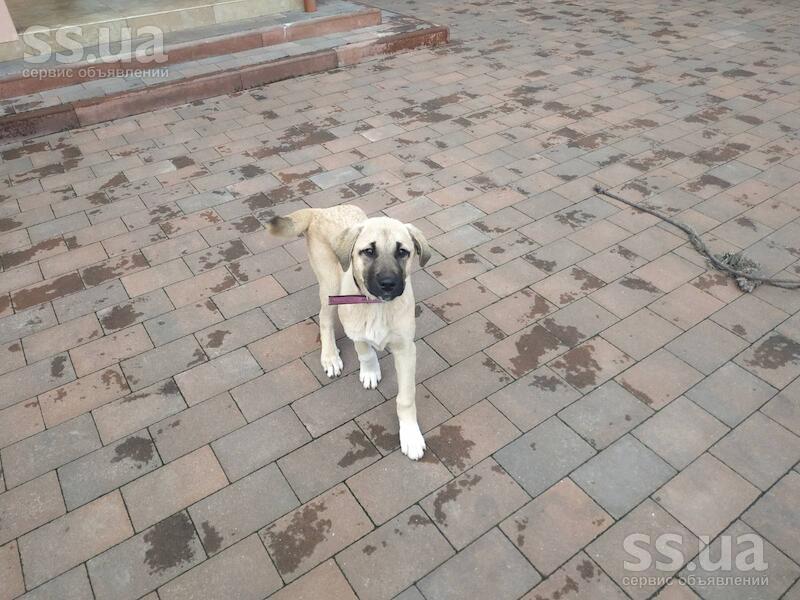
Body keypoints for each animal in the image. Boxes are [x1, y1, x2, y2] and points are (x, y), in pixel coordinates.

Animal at [269, 205, 431, 460]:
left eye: (403, 252)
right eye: (368, 251)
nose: (388, 283)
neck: (376, 306)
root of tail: (320, 211)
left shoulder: (406, 348)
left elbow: (405, 398)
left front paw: (411, 436)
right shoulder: (355, 329)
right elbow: (365, 352)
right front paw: (370, 372)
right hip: (330, 283)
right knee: (324, 319)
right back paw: (330, 357)